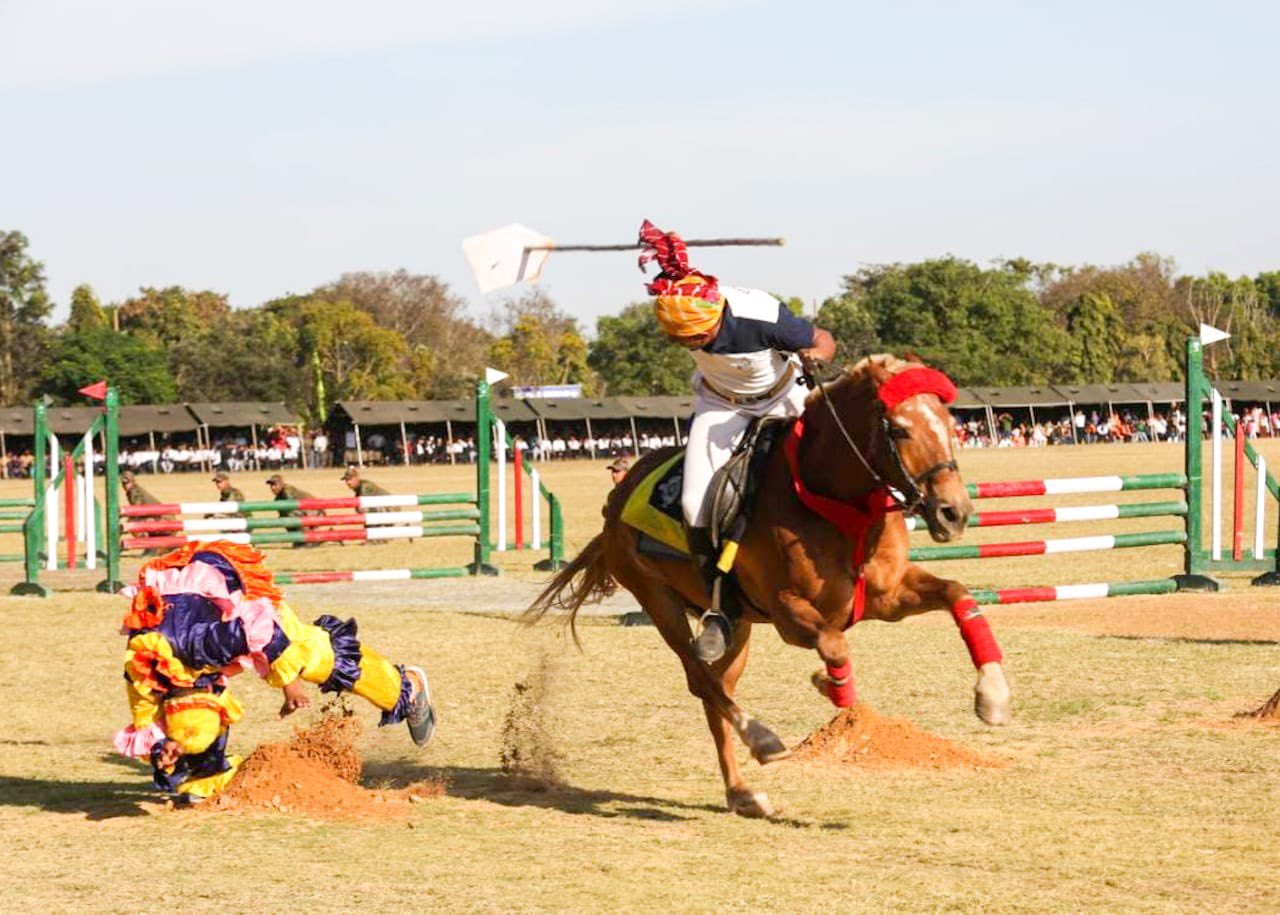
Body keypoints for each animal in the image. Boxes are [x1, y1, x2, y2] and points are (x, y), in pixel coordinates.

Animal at [522, 353, 1008, 819]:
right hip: (657, 600)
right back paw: (761, 739)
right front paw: (829, 684)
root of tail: (617, 497)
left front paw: (992, 695)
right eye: (899, 429)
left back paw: (742, 794)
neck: (831, 499)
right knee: (701, 678)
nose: (954, 512)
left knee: (716, 686)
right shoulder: (789, 613)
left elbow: (958, 593)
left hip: (737, 625)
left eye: (950, 425)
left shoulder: (887, 596)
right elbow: (835, 646)